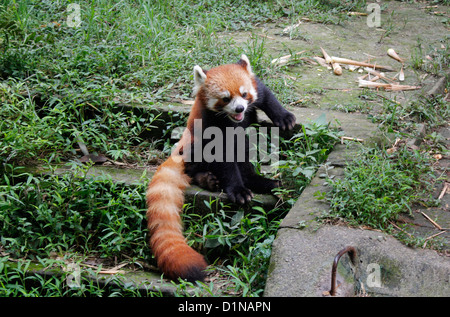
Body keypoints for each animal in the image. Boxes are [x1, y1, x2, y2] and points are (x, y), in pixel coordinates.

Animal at [146, 55, 298, 282]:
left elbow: (267, 97)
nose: (240, 109)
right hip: (193, 148)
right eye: (225, 99)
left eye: (244, 94)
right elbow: (224, 159)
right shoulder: (210, 124)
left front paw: (284, 117)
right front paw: (238, 190)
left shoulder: (255, 89)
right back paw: (217, 180)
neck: (232, 120)